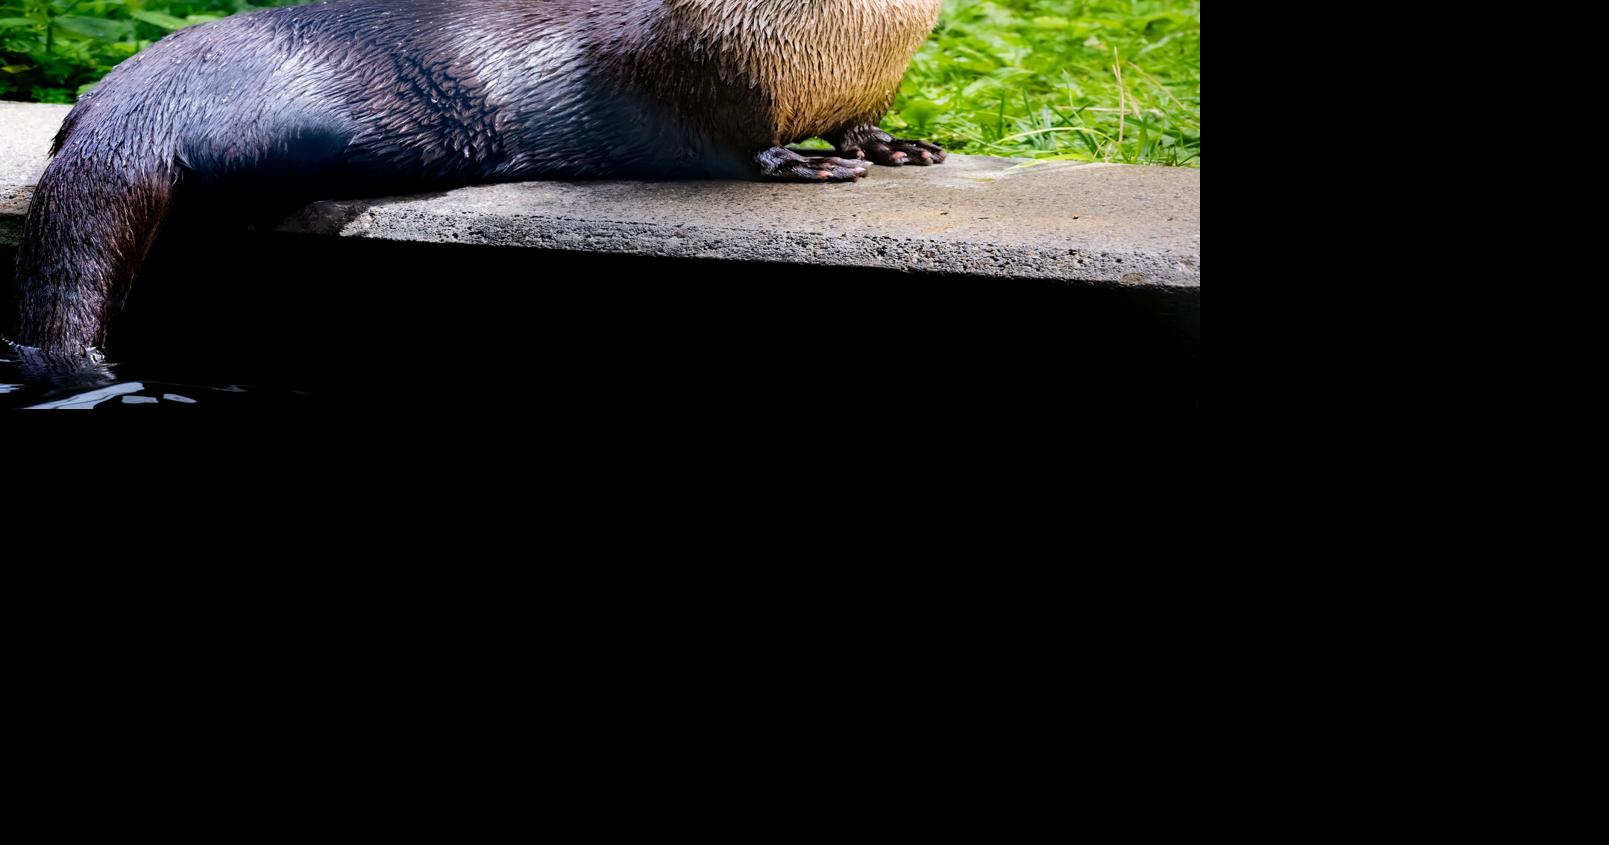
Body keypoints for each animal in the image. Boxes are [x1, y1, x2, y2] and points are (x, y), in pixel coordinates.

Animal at [8, 0, 946, 365]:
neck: (826, 56)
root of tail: (133, 100)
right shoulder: (683, 62)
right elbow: (719, 138)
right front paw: (798, 161)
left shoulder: (870, 78)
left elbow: (864, 121)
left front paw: (893, 144)